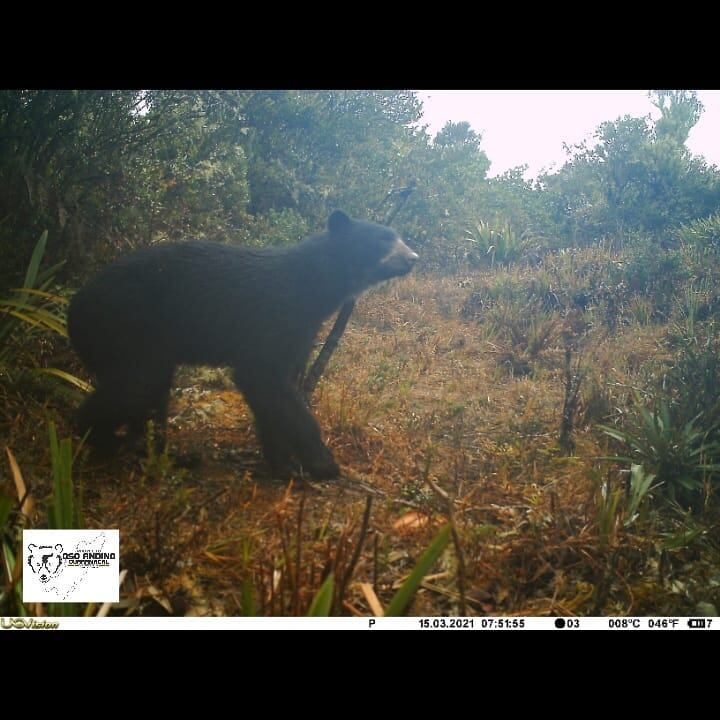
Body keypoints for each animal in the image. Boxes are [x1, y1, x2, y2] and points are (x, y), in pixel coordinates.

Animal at [67, 210, 418, 479]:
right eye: (382, 239)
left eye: (399, 236)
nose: (413, 257)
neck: (310, 288)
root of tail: (74, 309)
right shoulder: (274, 319)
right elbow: (262, 377)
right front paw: (322, 463)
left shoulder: (300, 332)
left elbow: (274, 391)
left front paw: (282, 464)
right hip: (127, 329)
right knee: (134, 387)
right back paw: (102, 439)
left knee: (152, 396)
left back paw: (169, 454)